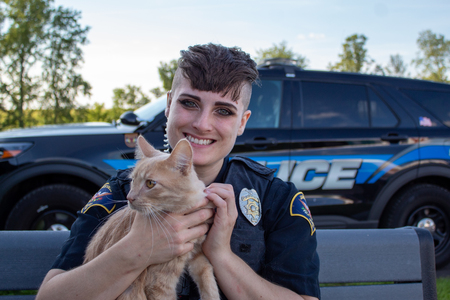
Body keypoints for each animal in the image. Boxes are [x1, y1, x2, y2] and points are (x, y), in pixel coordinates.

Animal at [84, 137, 220, 300]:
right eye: (133, 180)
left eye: (150, 183)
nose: (129, 198)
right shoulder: (159, 283)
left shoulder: (197, 256)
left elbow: (209, 285)